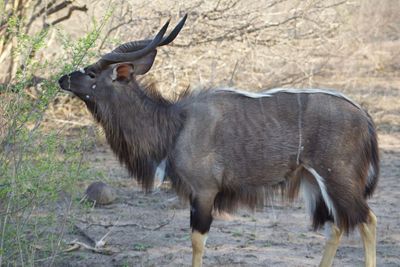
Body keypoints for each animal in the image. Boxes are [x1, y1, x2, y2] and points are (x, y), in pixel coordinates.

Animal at [58, 15, 378, 267]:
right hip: (315, 181)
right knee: (336, 226)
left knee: (367, 221)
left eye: (91, 73)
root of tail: (365, 116)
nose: (62, 79)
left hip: (338, 177)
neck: (175, 124)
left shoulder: (204, 191)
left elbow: (197, 242)